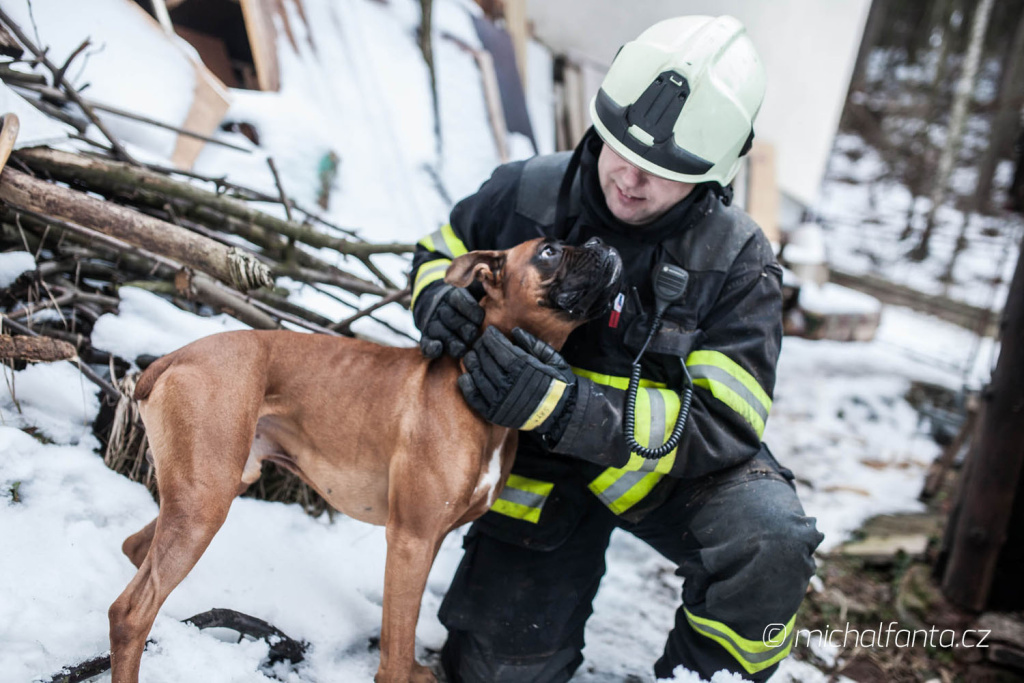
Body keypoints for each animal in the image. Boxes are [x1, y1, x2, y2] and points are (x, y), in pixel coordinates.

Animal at [110, 236, 622, 683]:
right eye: (549, 250)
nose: (603, 243)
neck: (475, 386)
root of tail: (174, 357)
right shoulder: (410, 539)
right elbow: (396, 641)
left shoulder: (430, 541)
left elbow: (407, 623)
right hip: (205, 504)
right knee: (130, 612)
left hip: (210, 491)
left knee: (136, 553)